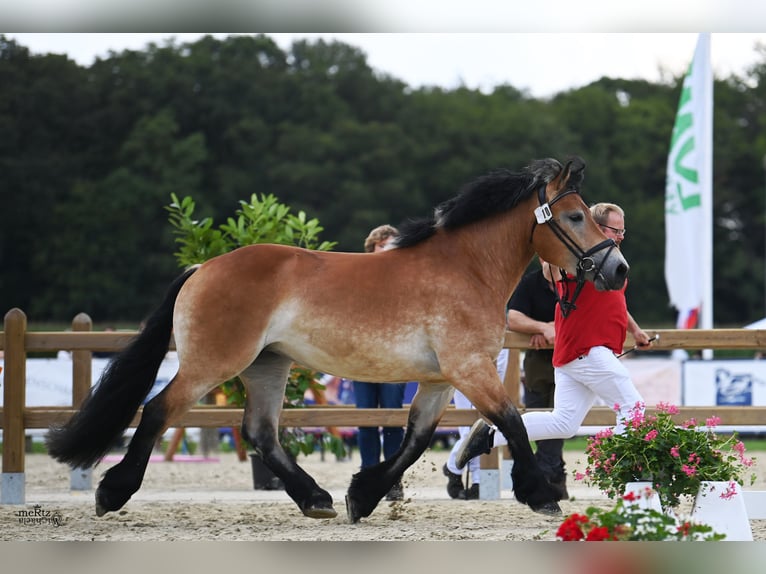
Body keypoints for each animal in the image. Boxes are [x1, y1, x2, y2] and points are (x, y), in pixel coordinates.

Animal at [46, 156, 632, 520]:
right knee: (157, 411)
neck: (466, 268)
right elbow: (510, 420)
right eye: (574, 216)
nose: (618, 270)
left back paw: (317, 498)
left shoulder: (440, 379)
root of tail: (202, 268)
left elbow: (415, 439)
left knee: (260, 433)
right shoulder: (468, 369)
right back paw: (112, 492)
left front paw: (362, 497)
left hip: (267, 365)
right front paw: (540, 496)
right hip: (213, 363)